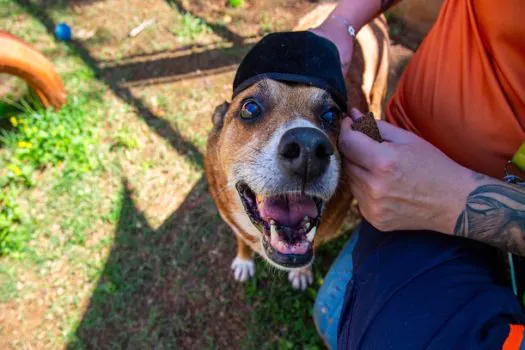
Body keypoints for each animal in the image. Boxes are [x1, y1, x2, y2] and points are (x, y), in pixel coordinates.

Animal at [205, 3, 388, 290]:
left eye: (331, 115)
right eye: (249, 108)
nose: (308, 149)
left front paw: (301, 273)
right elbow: (240, 239)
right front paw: (244, 261)